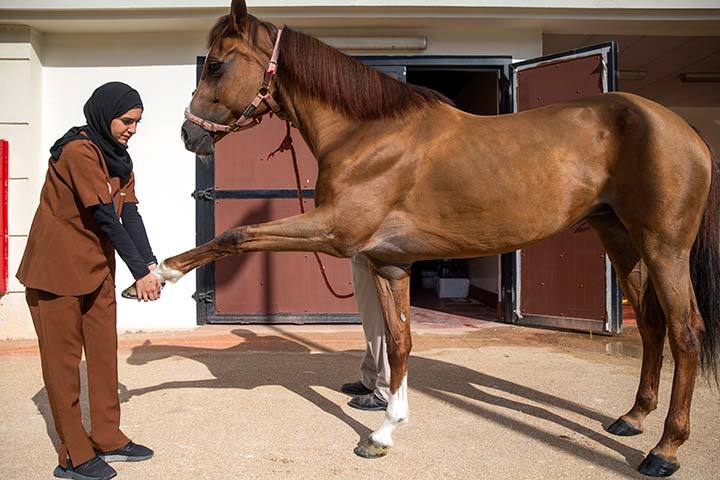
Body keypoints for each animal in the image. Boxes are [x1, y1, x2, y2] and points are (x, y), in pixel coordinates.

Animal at [150, 0, 716, 476]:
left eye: (216, 64)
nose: (189, 135)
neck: (368, 133)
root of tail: (683, 128)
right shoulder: (387, 262)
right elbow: (399, 342)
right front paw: (385, 430)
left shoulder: (334, 231)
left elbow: (237, 234)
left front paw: (157, 276)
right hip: (621, 241)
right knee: (651, 326)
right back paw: (632, 418)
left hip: (665, 246)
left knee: (686, 332)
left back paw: (664, 449)